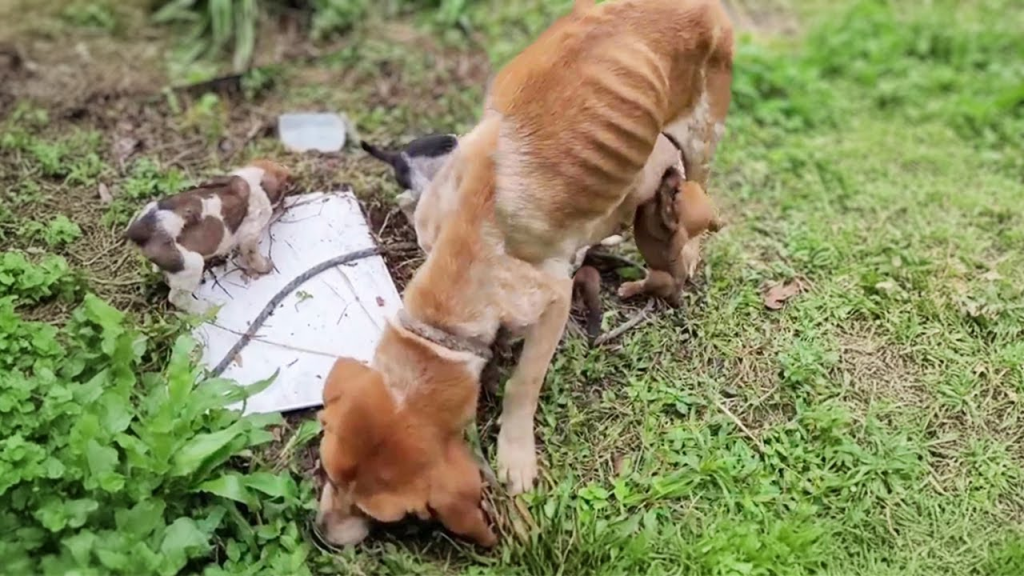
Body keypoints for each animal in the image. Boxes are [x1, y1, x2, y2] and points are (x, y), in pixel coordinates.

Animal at [125, 157, 292, 309]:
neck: (253, 181)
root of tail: (141, 229)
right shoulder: (249, 236)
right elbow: (254, 256)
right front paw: (265, 266)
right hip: (191, 264)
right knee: (178, 298)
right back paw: (205, 309)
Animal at [315, 0, 733, 541]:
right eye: (327, 470)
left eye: (387, 517)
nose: (321, 533)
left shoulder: (552, 300)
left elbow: (525, 382)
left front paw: (514, 453)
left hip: (703, 134)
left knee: (699, 189)